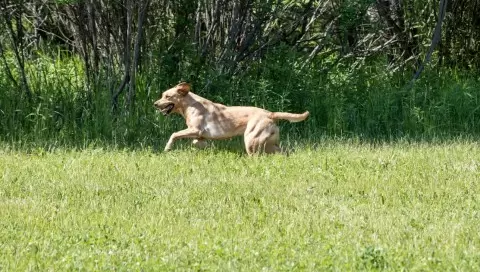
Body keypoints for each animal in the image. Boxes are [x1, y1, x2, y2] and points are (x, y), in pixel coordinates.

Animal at [155, 81, 312, 155]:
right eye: (162, 95)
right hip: (270, 144)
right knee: (284, 152)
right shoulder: (199, 135)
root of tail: (270, 114)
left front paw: (167, 148)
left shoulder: (195, 129)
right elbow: (196, 142)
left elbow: (174, 134)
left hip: (251, 140)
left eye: (167, 96)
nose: (155, 104)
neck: (190, 105)